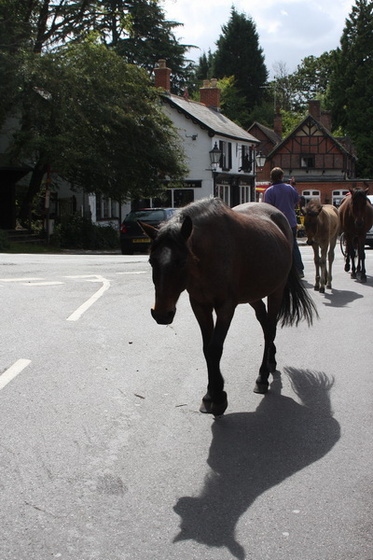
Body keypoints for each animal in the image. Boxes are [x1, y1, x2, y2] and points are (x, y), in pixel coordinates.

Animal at [141, 197, 316, 416]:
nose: (161, 314)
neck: (209, 255)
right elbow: (206, 349)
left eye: (181, 261)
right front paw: (209, 395)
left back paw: (262, 377)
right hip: (253, 296)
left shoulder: (225, 307)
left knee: (270, 330)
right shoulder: (200, 306)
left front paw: (218, 398)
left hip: (276, 291)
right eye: (151, 261)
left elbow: (215, 349)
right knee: (265, 323)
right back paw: (271, 360)